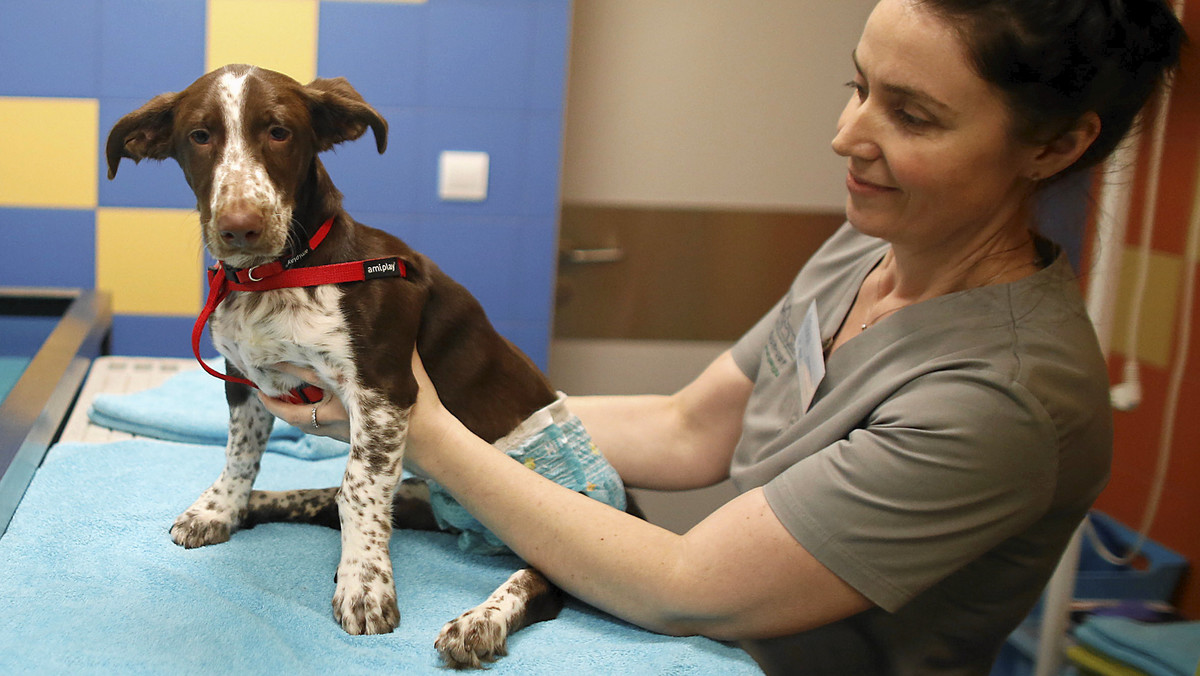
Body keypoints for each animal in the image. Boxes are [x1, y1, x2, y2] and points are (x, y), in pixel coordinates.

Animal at [105, 64, 628, 672]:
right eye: (199, 136)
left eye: (280, 132)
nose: (240, 226)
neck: (277, 275)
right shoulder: (245, 382)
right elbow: (240, 455)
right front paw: (221, 508)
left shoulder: (383, 391)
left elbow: (359, 488)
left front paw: (364, 586)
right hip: (421, 499)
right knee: (325, 499)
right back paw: (263, 506)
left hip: (564, 516)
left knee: (542, 579)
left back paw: (480, 621)